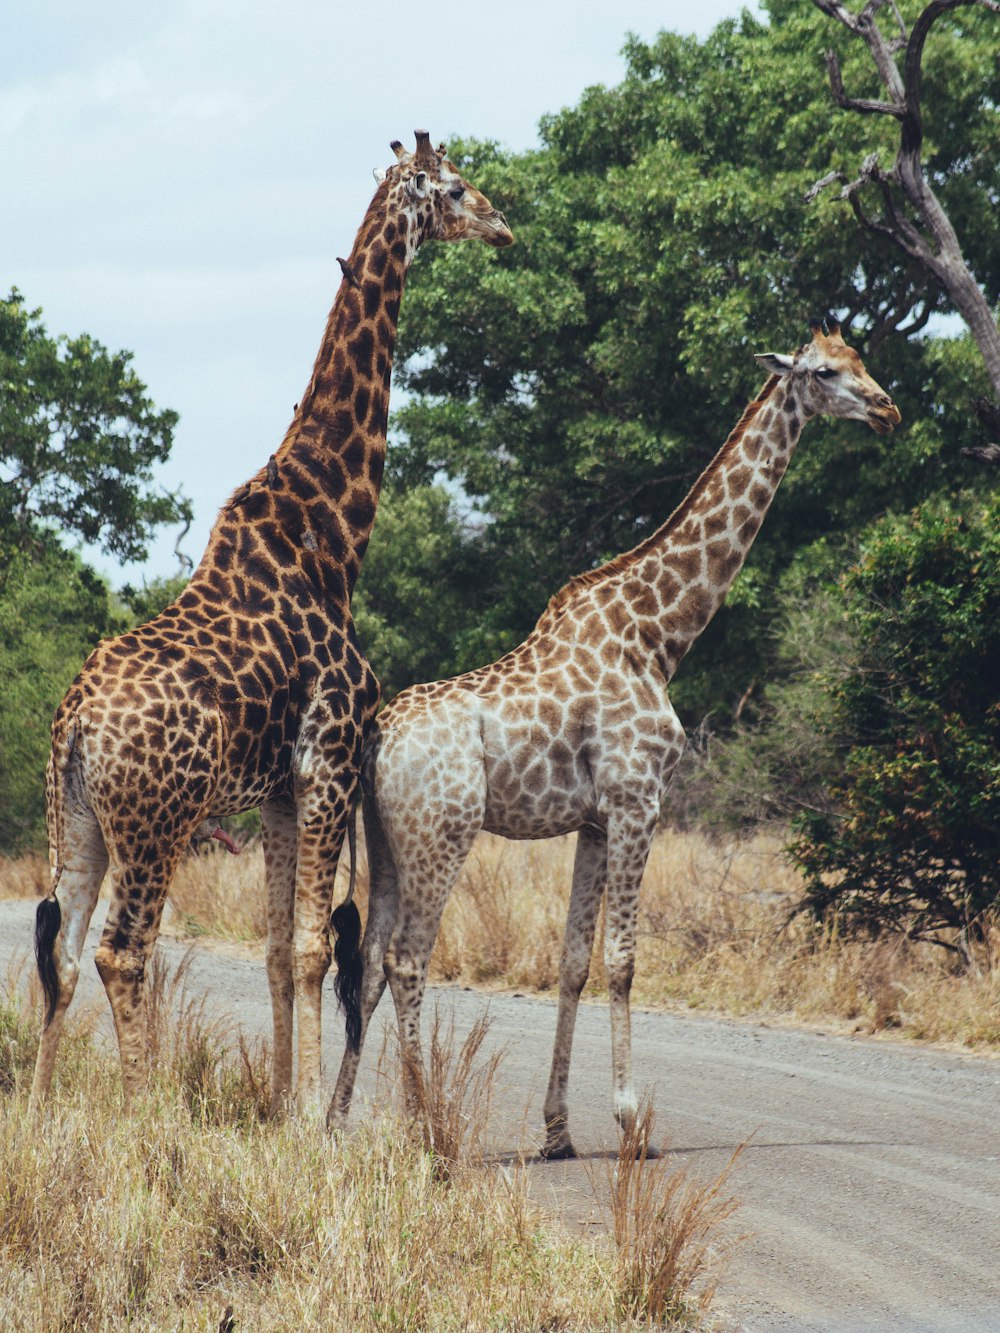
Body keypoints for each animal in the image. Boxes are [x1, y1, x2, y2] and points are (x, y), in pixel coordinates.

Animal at [29, 132, 517, 1114]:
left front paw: (282, 1104)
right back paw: (144, 1111)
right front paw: (304, 1117)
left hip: (80, 817)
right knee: (122, 950)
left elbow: (275, 948)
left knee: (62, 945)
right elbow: (314, 944)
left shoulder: (283, 788)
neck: (333, 535)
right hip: (158, 820)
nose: (504, 225)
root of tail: (74, 725)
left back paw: (37, 1104)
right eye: (454, 189)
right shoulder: (329, 760)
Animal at [333, 322, 906, 1157]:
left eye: (862, 360)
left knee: (371, 963)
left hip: (386, 837)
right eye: (827, 372)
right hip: (444, 831)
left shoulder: (596, 820)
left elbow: (572, 961)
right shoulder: (640, 800)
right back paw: (430, 1125)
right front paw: (633, 1120)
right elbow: (625, 958)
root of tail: (375, 740)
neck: (661, 633)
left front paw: (559, 1130)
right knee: (408, 959)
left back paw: (335, 1119)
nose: (888, 409)